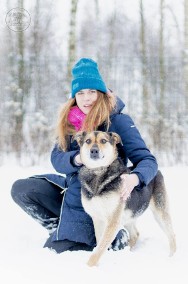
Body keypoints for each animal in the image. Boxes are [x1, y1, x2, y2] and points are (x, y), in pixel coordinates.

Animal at [74, 131, 176, 266]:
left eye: (103, 141)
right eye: (88, 141)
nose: (94, 151)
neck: (98, 172)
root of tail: (158, 171)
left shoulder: (113, 220)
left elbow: (100, 248)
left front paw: (89, 266)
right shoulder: (97, 218)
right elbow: (99, 243)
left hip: (160, 213)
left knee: (172, 234)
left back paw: (172, 257)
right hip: (128, 215)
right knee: (135, 234)